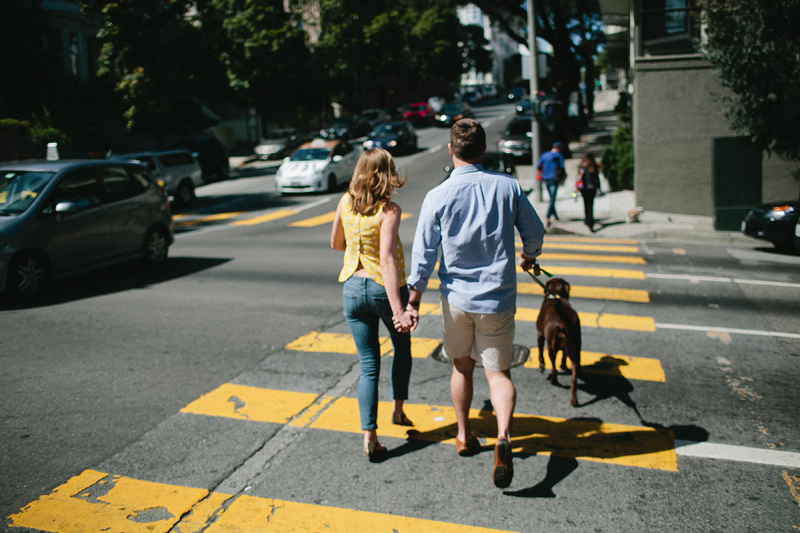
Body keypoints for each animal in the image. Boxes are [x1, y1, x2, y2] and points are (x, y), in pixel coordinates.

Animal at [536, 276, 580, 406]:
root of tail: (563, 324)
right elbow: (564, 355)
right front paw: (563, 365)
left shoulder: (540, 334)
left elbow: (540, 352)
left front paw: (541, 366)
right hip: (575, 350)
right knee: (574, 379)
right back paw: (573, 401)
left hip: (551, 347)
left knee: (553, 367)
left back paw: (553, 380)